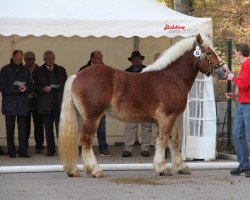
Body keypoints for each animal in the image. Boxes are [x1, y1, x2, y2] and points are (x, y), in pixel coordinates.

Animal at [58, 33, 227, 177]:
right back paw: (95, 170)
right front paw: (162, 167)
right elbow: (163, 139)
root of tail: (77, 76)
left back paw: (73, 170)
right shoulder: (167, 117)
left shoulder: (172, 117)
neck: (172, 78)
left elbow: (174, 141)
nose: (224, 71)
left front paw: (181, 166)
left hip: (81, 116)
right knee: (86, 139)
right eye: (209, 52)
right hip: (93, 117)